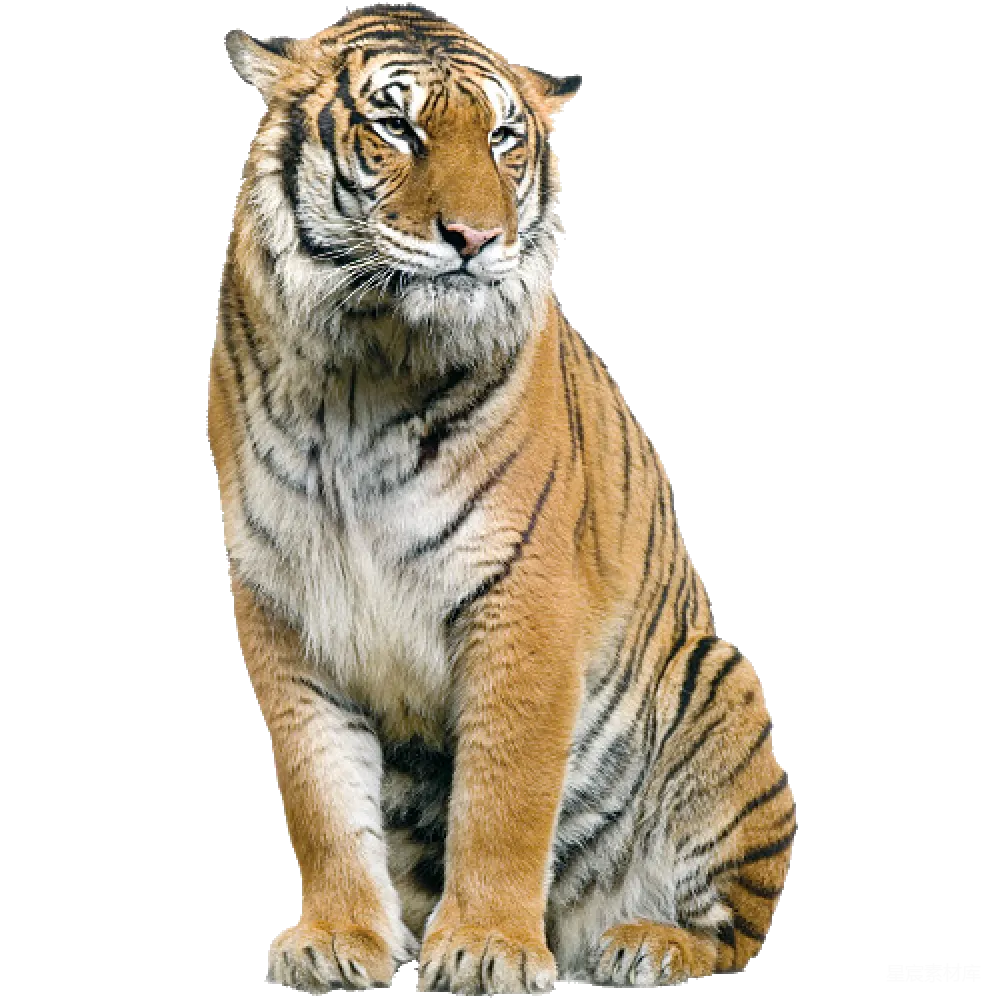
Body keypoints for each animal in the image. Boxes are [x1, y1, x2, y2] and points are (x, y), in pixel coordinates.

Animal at [210, 6, 795, 993]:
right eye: (397, 126)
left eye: (503, 138)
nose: (476, 239)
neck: (360, 369)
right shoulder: (283, 604)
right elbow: (321, 794)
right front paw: (338, 940)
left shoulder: (522, 596)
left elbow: (504, 794)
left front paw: (486, 945)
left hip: (722, 685)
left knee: (734, 927)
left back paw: (646, 944)